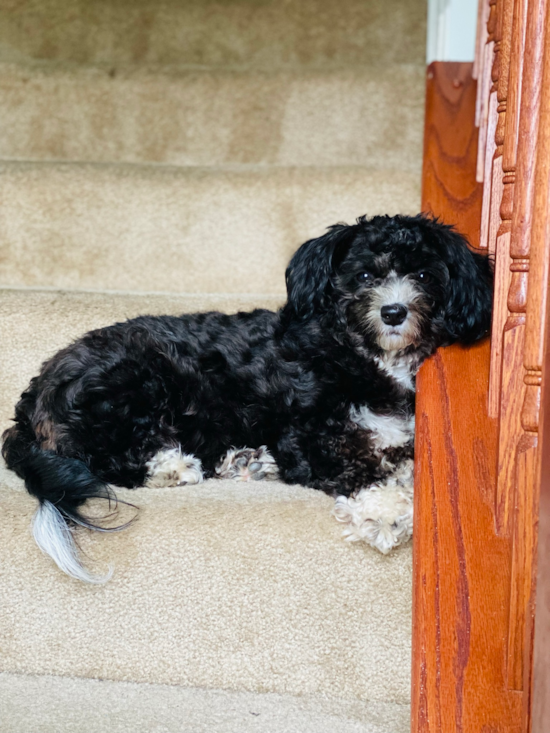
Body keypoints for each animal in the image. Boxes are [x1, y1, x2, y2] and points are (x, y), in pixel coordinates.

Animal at [2, 213, 496, 584]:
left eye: (423, 274)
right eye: (365, 274)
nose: (394, 311)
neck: (369, 358)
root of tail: (31, 399)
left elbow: (405, 456)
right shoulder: (308, 434)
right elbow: (362, 467)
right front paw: (387, 511)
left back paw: (245, 460)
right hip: (140, 380)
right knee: (104, 460)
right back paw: (174, 467)